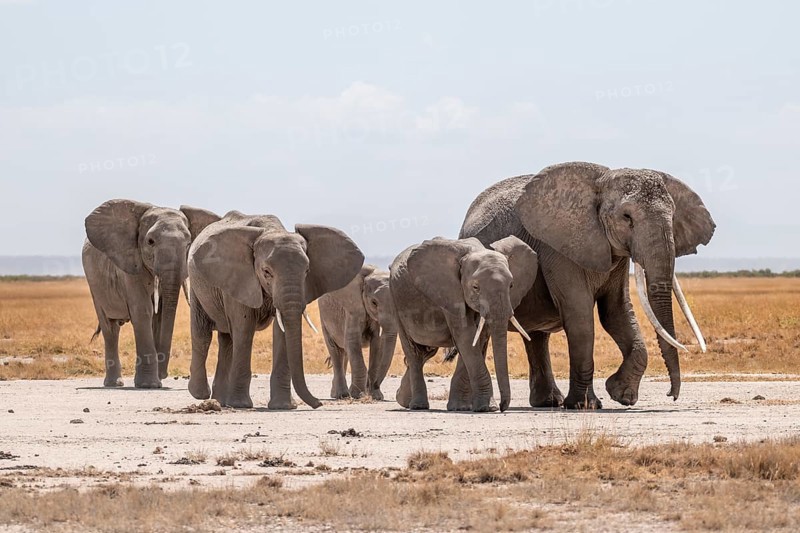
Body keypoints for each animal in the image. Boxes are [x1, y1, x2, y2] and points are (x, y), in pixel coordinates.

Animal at [82, 199, 220, 388]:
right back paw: (114, 384)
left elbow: (160, 314)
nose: (164, 374)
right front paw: (149, 384)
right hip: (94, 284)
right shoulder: (130, 264)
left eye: (188, 244)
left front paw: (153, 380)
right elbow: (144, 310)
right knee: (110, 328)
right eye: (150, 241)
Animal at [186, 211, 364, 409]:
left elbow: (282, 331)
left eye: (307, 271)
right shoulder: (240, 280)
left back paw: (220, 400)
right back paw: (200, 393)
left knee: (227, 340)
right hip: (197, 286)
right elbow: (244, 329)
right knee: (203, 333)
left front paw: (283, 406)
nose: (319, 404)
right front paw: (241, 405)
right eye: (266, 272)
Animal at [318, 265, 398, 401]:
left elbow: (377, 343)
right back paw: (341, 395)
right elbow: (353, 340)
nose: (373, 387)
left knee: (344, 351)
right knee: (335, 350)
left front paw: (375, 396)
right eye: (374, 302)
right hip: (323, 317)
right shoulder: (352, 307)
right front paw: (358, 395)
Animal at [391, 236, 537, 412]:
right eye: (475, 287)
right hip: (395, 302)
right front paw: (486, 408)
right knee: (414, 353)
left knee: (426, 352)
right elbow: (466, 337)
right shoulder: (450, 293)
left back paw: (402, 399)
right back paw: (418, 406)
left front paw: (461, 407)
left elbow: (477, 339)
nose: (503, 407)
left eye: (511, 285)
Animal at [457, 161, 715, 409]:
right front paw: (585, 405)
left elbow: (616, 312)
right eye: (627, 217)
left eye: (673, 216)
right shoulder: (558, 248)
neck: (602, 181)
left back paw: (549, 402)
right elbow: (580, 316)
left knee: (537, 336)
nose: (671, 395)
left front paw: (622, 395)